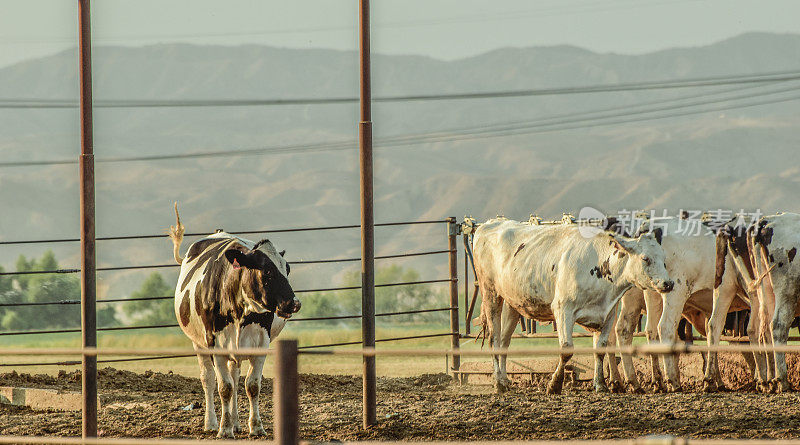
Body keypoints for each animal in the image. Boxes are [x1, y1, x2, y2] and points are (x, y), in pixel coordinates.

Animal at [166, 206, 300, 438]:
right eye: (267, 270)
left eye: (287, 269)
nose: (294, 303)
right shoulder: (215, 344)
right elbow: (224, 387)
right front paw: (224, 429)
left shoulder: (261, 343)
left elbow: (251, 385)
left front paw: (256, 427)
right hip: (199, 343)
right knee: (208, 379)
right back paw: (211, 423)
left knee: (236, 376)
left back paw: (237, 422)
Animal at [472, 217, 672, 394]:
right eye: (645, 258)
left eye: (663, 258)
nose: (668, 283)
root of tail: (490, 224)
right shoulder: (563, 309)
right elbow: (566, 349)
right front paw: (554, 385)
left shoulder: (608, 313)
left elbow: (601, 348)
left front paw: (600, 384)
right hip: (490, 292)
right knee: (494, 338)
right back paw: (498, 383)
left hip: (512, 303)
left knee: (504, 341)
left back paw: (505, 380)